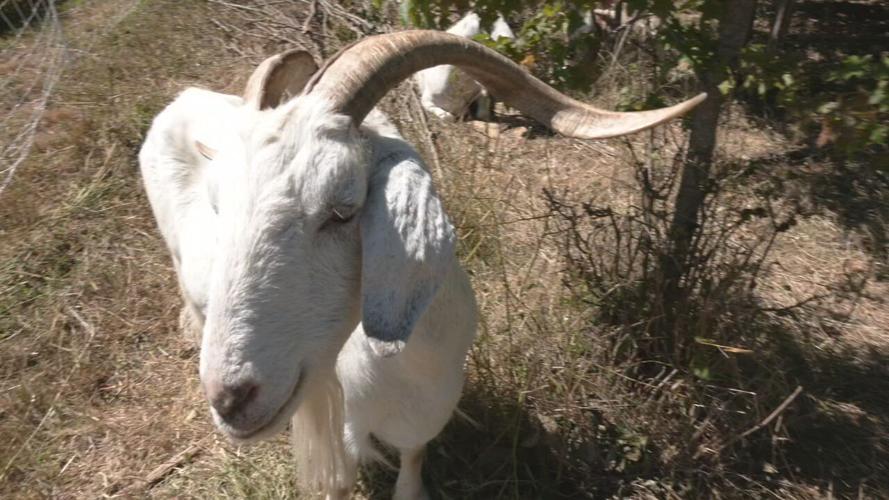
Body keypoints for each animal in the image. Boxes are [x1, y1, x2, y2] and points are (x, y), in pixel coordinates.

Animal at [139, 31, 705, 499]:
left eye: (343, 209)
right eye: (218, 205)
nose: (230, 398)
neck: (404, 369)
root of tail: (186, 97)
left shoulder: (429, 409)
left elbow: (412, 459)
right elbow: (340, 478)